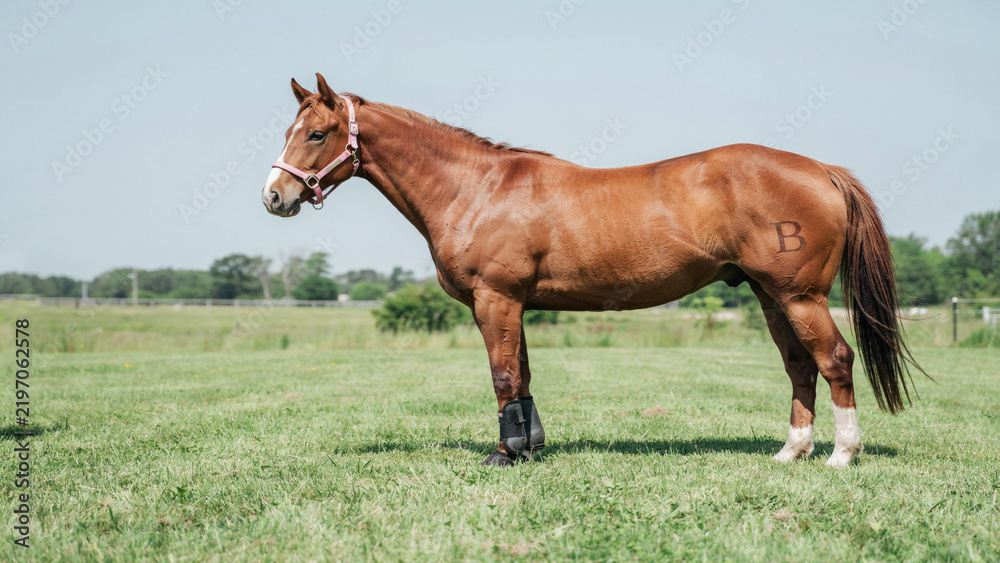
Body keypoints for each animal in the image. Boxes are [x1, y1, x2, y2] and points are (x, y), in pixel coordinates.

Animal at [262, 73, 922, 468]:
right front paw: (529, 449)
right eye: (290, 130)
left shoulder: (495, 299)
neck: (477, 187)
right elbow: (523, 378)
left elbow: (503, 378)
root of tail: (822, 169)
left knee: (834, 359)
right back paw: (791, 452)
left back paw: (841, 454)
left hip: (800, 294)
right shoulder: (515, 304)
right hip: (769, 294)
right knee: (799, 366)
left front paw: (504, 456)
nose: (274, 197)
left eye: (317, 133)